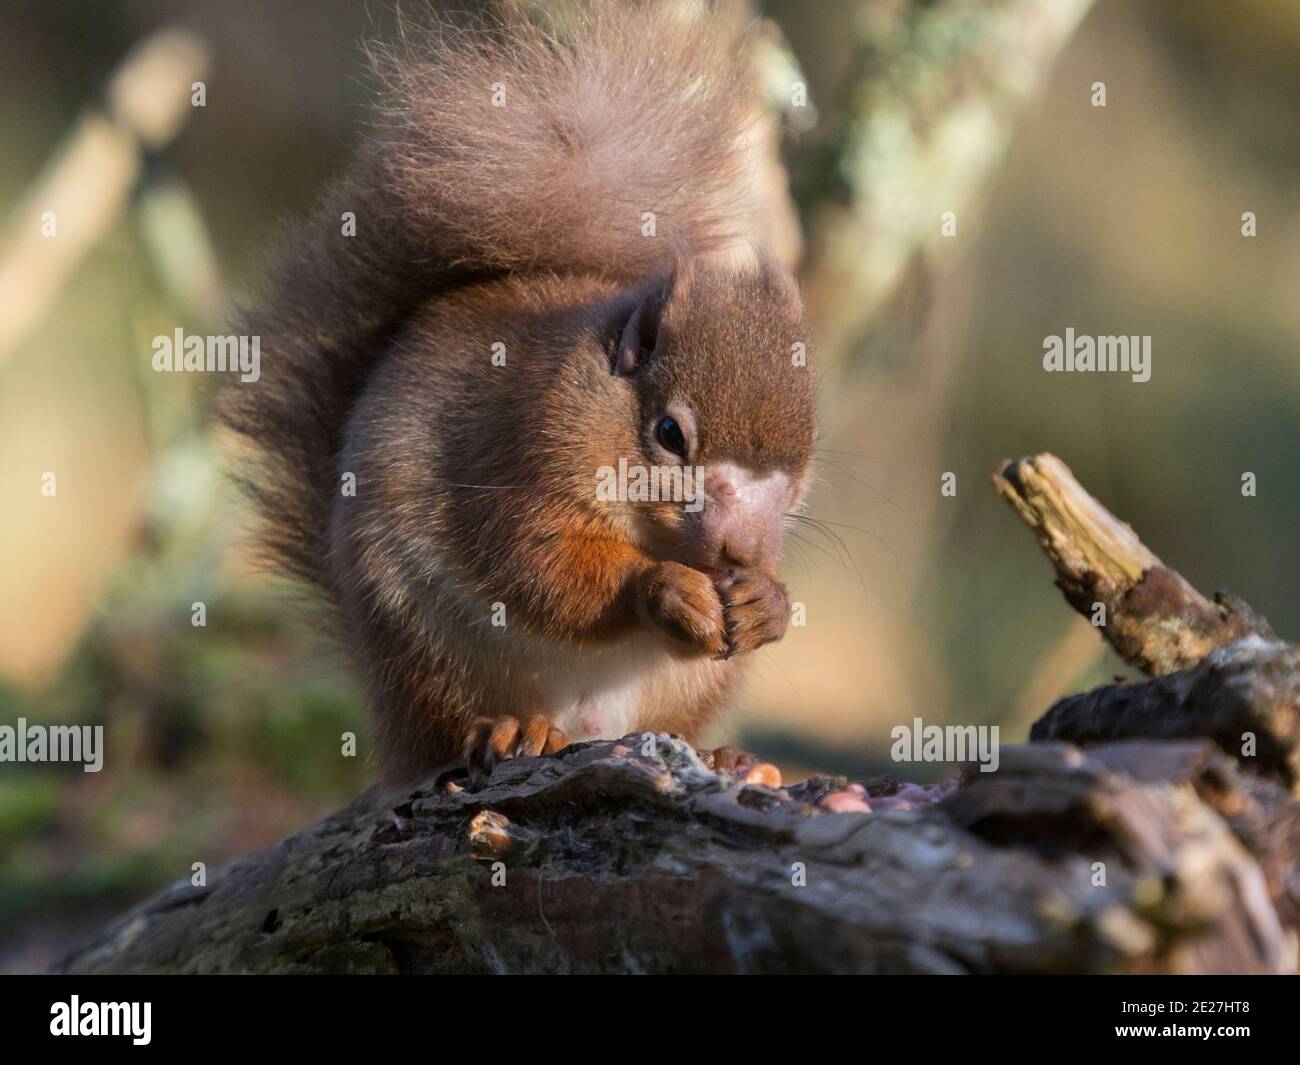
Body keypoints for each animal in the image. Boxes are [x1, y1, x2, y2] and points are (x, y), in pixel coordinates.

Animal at [220, 0, 811, 785]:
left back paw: (726, 754)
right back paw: (509, 728)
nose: (739, 551)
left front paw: (765, 601)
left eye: (799, 472)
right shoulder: (521, 445)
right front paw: (664, 587)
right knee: (450, 724)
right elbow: (538, 563)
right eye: (669, 435)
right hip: (425, 642)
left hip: (687, 687)